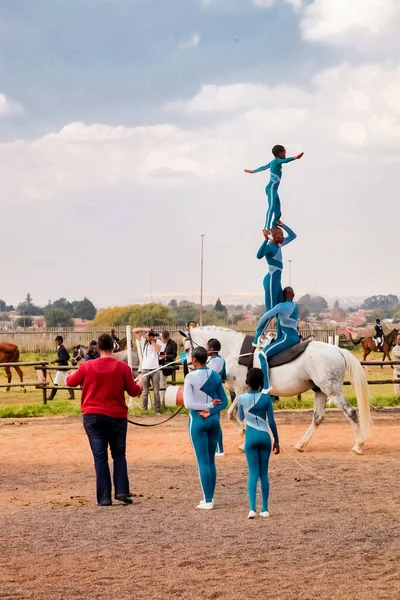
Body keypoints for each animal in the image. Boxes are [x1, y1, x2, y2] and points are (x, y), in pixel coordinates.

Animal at [181, 328, 372, 454]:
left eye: (187, 349)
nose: (190, 369)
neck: (236, 353)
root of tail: (337, 349)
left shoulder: (241, 391)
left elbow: (235, 415)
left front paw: (244, 437)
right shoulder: (242, 392)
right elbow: (233, 414)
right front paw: (244, 438)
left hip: (332, 390)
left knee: (351, 412)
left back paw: (358, 445)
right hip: (320, 390)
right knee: (318, 417)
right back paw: (301, 444)